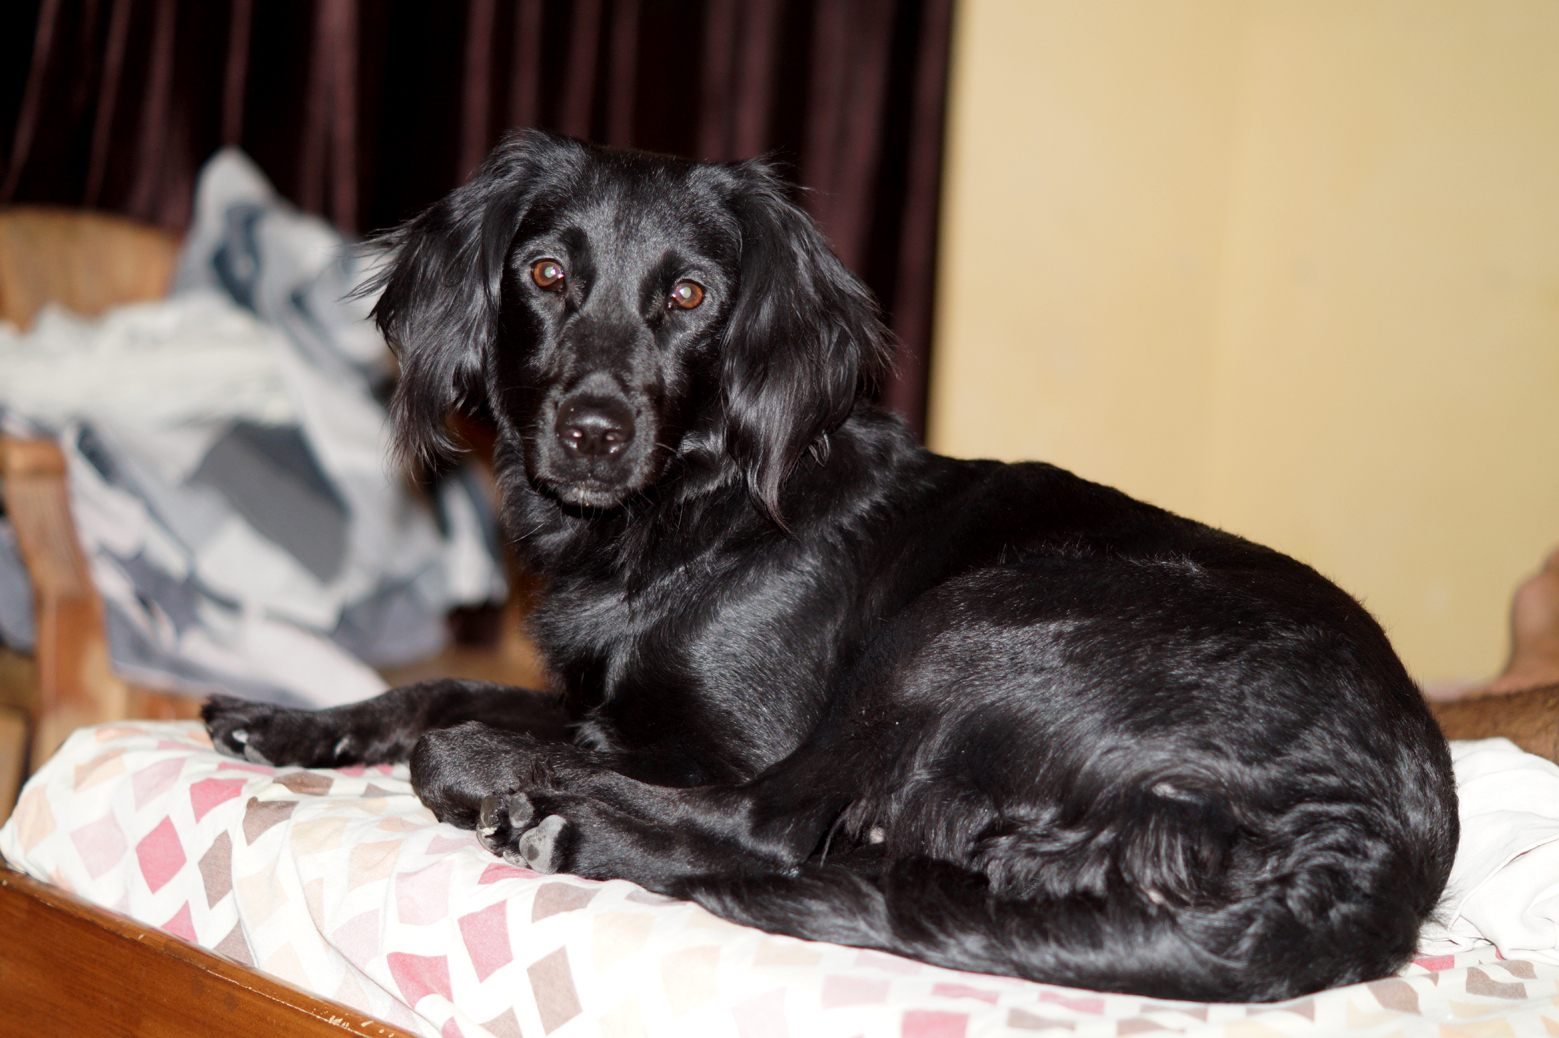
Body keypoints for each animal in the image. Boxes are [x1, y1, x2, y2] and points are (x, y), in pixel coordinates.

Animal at [203, 130, 1458, 1002]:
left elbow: (484, 724)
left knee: (770, 824)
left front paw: (505, 774)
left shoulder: (718, 735)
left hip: (965, 627)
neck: (678, 520)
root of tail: (1379, 843)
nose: (593, 432)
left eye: (688, 295)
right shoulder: (609, 697)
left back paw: (552, 818)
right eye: (547, 275)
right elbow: (439, 685)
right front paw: (287, 721)